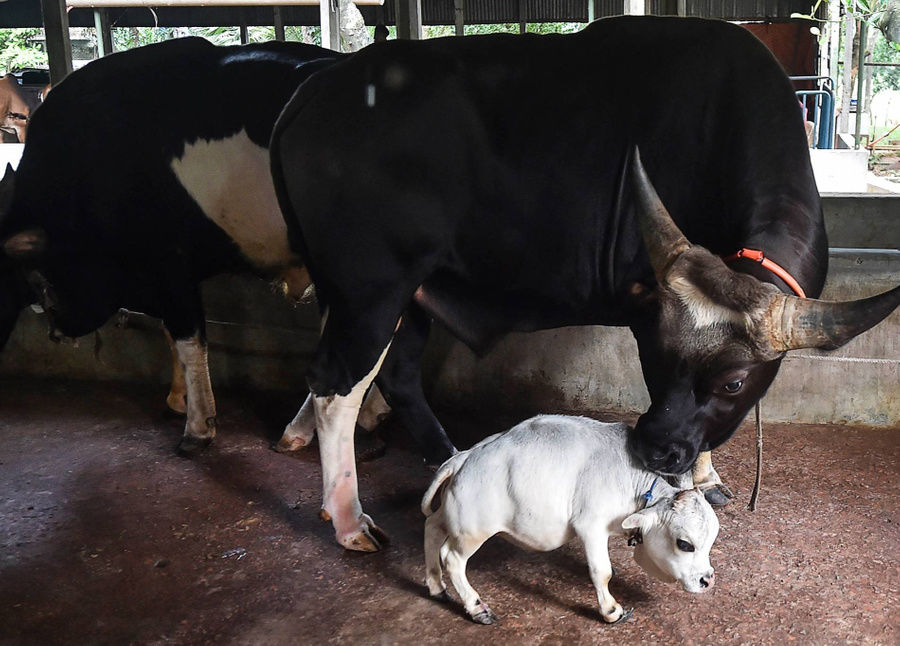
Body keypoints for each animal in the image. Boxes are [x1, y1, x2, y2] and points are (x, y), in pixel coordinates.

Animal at [270, 16, 900, 551]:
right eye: (654, 356)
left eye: (733, 382)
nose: (654, 449)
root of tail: (316, 87)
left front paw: (705, 473)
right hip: (370, 290)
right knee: (335, 386)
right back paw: (349, 519)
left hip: (411, 293)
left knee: (396, 375)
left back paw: (448, 456)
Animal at [421, 415, 719, 624]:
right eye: (685, 544)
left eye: (710, 542)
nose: (707, 580)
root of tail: (464, 457)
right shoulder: (591, 525)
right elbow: (602, 571)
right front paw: (611, 610)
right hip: (472, 530)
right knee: (452, 558)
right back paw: (476, 608)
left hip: (450, 515)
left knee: (432, 528)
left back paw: (436, 586)